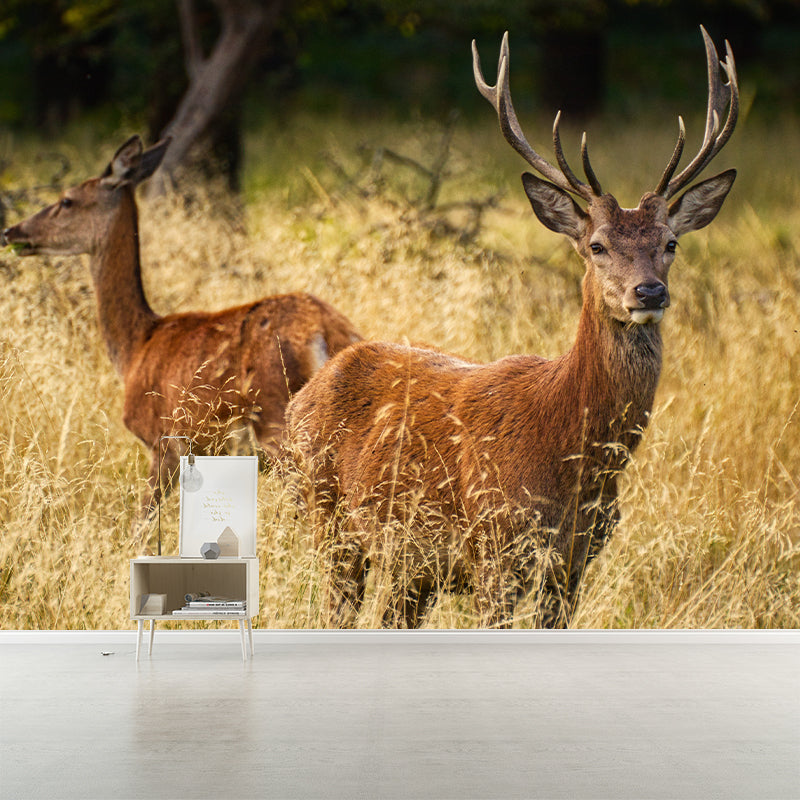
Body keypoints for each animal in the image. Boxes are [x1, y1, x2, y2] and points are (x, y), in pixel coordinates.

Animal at [2, 135, 361, 552]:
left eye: (67, 200)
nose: (12, 232)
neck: (136, 345)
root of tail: (327, 333)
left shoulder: (164, 442)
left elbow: (141, 525)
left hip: (277, 421)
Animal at [285, 26, 738, 629]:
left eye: (671, 243)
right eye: (597, 245)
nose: (649, 292)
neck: (574, 460)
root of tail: (303, 396)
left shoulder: (575, 563)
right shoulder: (495, 548)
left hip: (409, 566)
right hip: (328, 520)